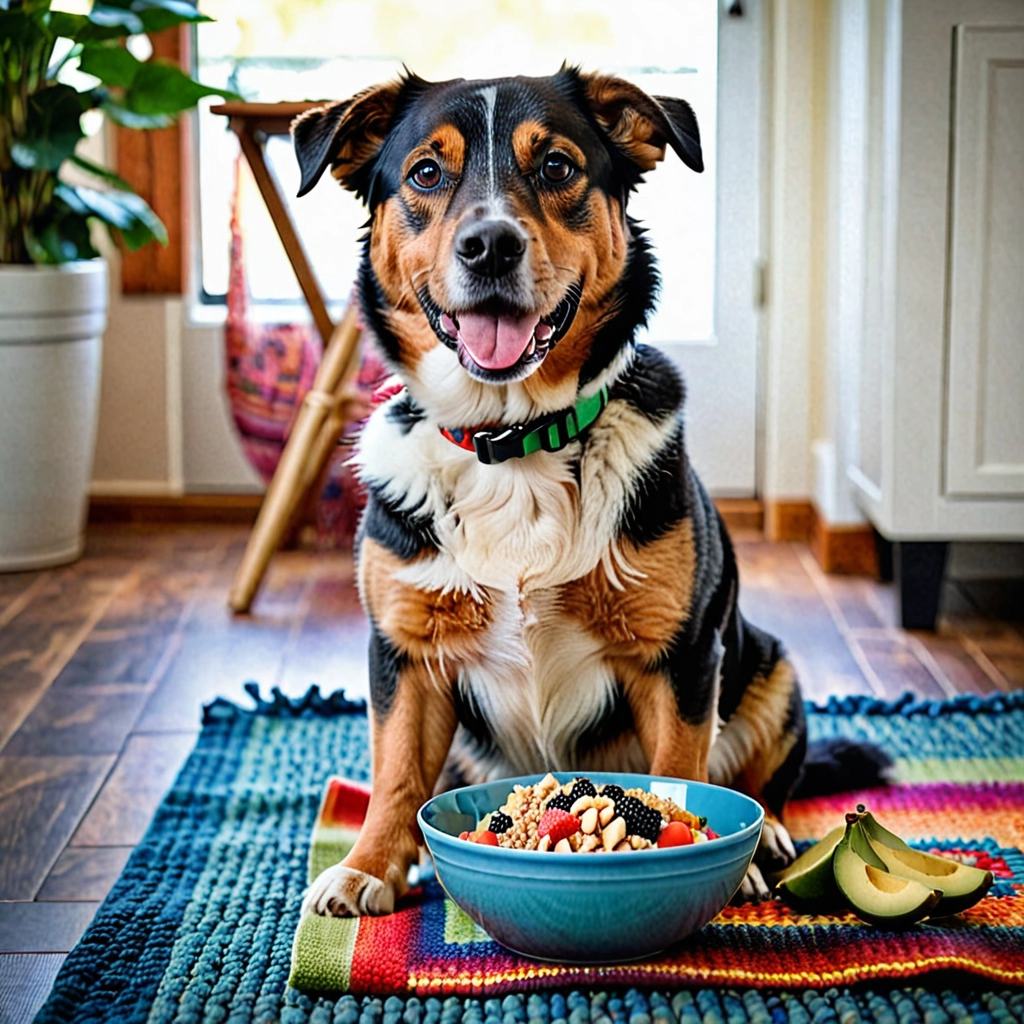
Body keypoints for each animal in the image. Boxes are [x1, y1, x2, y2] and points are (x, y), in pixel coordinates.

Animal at [294, 68, 806, 917]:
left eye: (558, 166)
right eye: (425, 173)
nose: (490, 244)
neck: (514, 441)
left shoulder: (680, 651)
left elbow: (683, 765)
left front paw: (713, 852)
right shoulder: (403, 650)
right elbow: (394, 770)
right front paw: (369, 866)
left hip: (770, 666)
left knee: (768, 782)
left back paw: (766, 838)